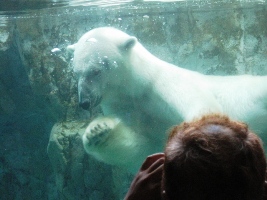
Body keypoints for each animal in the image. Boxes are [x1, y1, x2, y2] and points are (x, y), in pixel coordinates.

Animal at [68, 27, 267, 173]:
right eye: (76, 72)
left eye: (95, 71)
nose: (84, 101)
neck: (140, 86)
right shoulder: (125, 107)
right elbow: (141, 147)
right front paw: (97, 130)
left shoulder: (164, 84)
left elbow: (202, 105)